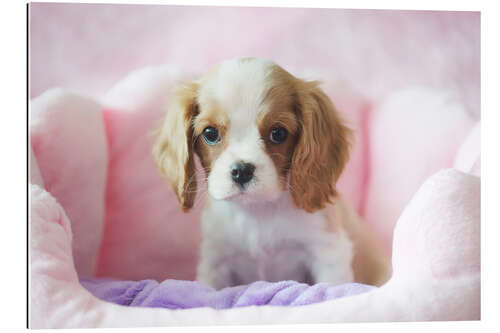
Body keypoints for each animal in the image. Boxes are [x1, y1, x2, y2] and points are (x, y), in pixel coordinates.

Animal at [153, 57, 390, 288]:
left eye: (278, 133)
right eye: (210, 133)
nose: (242, 171)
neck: (258, 212)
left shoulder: (328, 252)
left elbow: (331, 287)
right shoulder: (215, 261)